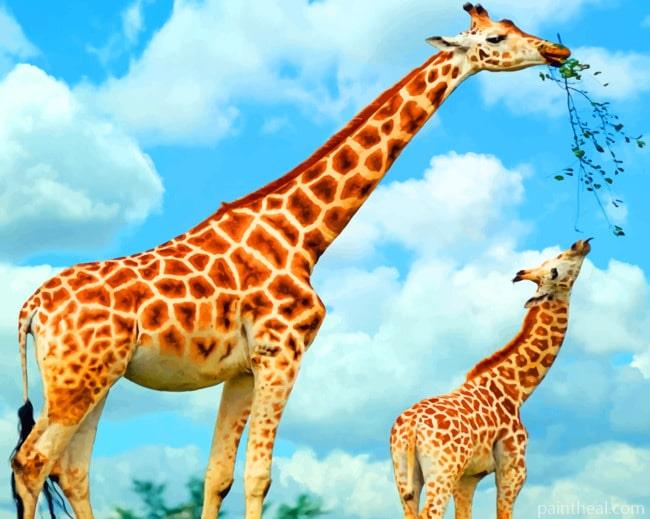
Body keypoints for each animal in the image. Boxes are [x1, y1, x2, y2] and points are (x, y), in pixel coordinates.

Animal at [10, 4, 571, 519]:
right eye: (496, 37)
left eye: (515, 24)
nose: (557, 51)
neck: (305, 237)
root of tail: (31, 309)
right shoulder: (282, 353)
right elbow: (258, 475)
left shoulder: (242, 368)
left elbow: (217, 475)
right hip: (77, 380)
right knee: (32, 461)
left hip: (97, 377)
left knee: (72, 468)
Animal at [389, 239, 592, 519]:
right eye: (555, 268)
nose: (581, 244)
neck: (516, 390)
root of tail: (411, 427)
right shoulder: (513, 470)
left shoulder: (468, 477)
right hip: (442, 470)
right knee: (430, 512)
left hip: (403, 473)